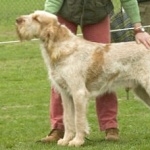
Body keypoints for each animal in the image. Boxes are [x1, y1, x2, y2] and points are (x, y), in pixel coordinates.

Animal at [15, 10, 150, 146]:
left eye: (36, 18)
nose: (17, 20)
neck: (63, 48)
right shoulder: (65, 94)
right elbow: (67, 118)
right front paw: (65, 140)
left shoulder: (78, 92)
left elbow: (78, 120)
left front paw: (77, 141)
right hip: (141, 90)